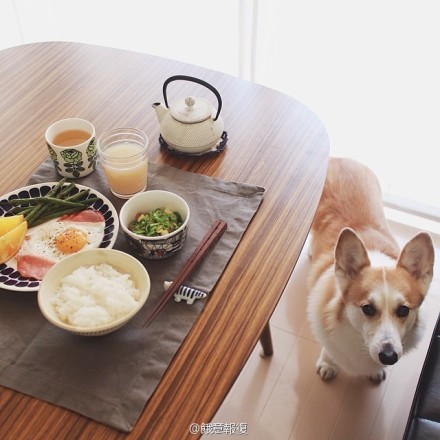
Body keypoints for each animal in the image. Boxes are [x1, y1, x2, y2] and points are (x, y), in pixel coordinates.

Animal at [308, 158, 434, 382]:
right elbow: (330, 349)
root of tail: (340, 159)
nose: (388, 356)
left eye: (403, 310)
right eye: (367, 309)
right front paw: (328, 364)